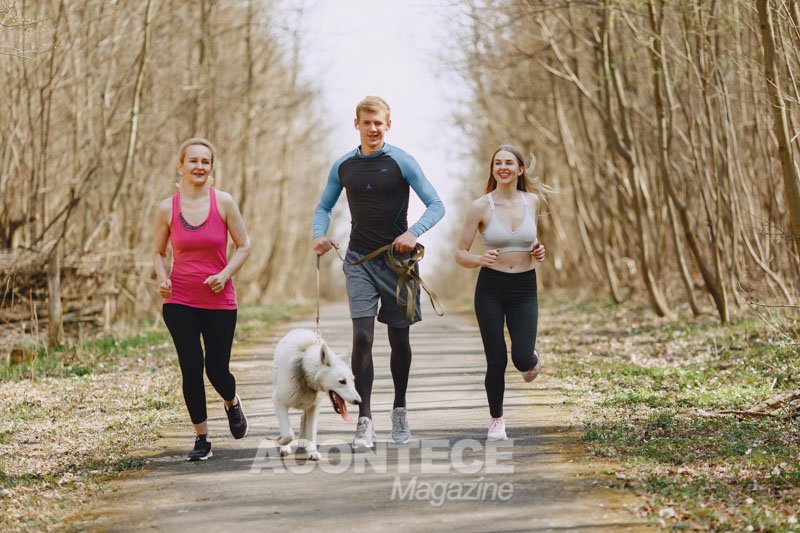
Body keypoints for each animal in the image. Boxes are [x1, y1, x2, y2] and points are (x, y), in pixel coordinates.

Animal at [276, 326, 362, 460]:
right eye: (342, 381)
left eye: (353, 380)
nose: (359, 401)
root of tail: (299, 330)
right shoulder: (279, 402)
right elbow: (288, 432)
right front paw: (283, 443)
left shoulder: (314, 408)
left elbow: (311, 431)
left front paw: (312, 452)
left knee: (303, 418)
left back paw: (303, 441)